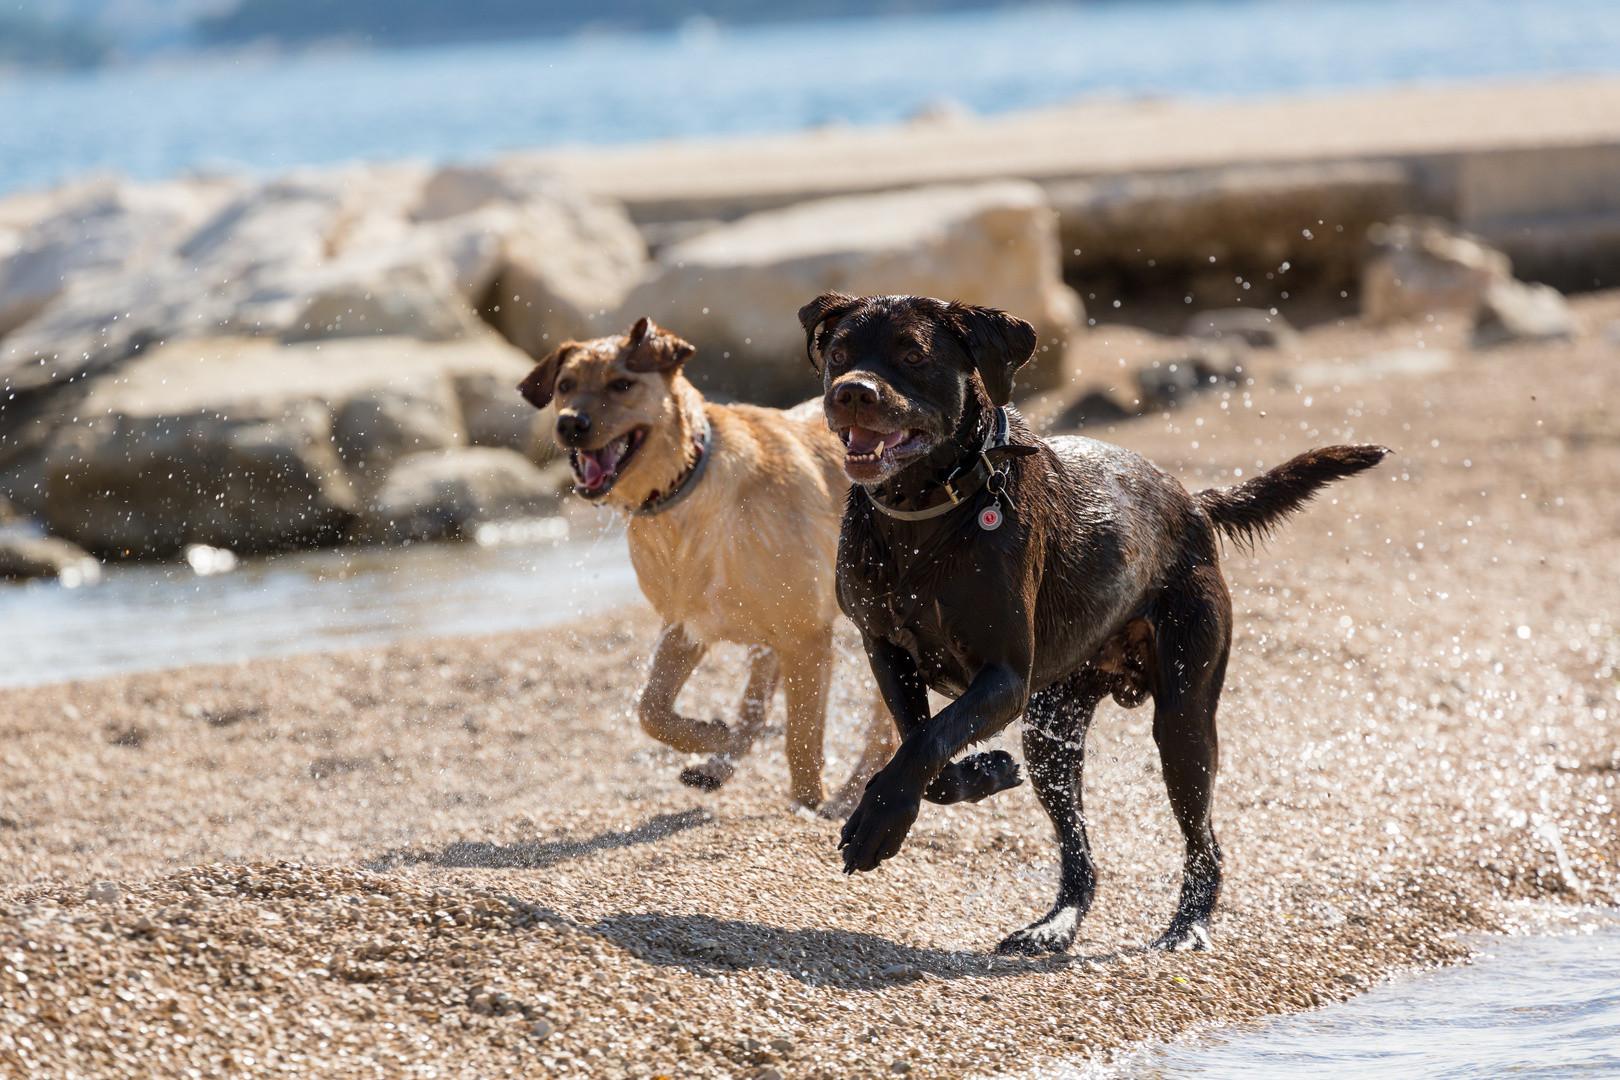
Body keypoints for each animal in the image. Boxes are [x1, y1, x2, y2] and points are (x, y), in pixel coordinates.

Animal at [518, 317, 900, 816]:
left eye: (622, 384)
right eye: (565, 386)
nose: (569, 424)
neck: (686, 490)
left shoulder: (807, 639)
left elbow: (800, 742)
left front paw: (809, 805)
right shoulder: (686, 625)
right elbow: (651, 709)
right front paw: (706, 735)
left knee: (884, 733)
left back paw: (846, 798)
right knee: (756, 709)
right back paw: (718, 764)